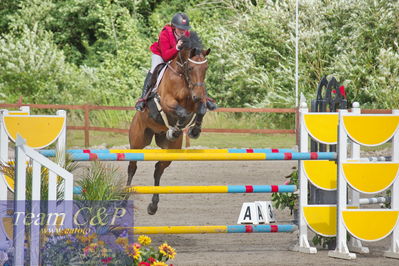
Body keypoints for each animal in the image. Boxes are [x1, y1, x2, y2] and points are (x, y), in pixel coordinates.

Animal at [128, 31, 211, 214]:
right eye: (190, 68)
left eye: (206, 68)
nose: (198, 95)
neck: (182, 76)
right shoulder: (166, 101)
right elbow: (181, 112)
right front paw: (176, 128)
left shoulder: (195, 102)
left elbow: (200, 110)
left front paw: (193, 130)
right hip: (137, 142)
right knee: (132, 166)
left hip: (170, 149)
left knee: (158, 168)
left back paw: (153, 206)